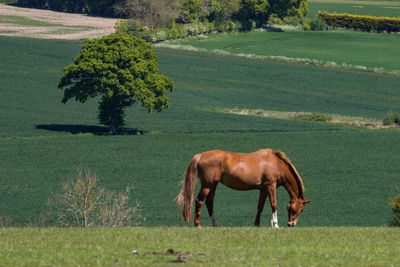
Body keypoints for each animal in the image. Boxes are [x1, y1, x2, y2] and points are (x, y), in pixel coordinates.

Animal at [177, 149, 310, 228]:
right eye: (299, 209)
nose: (291, 224)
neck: (276, 163)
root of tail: (200, 155)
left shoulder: (263, 189)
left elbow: (260, 206)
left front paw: (257, 224)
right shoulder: (270, 186)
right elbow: (274, 204)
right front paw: (275, 225)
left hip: (213, 184)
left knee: (209, 202)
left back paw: (215, 224)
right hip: (207, 185)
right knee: (199, 201)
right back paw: (197, 225)